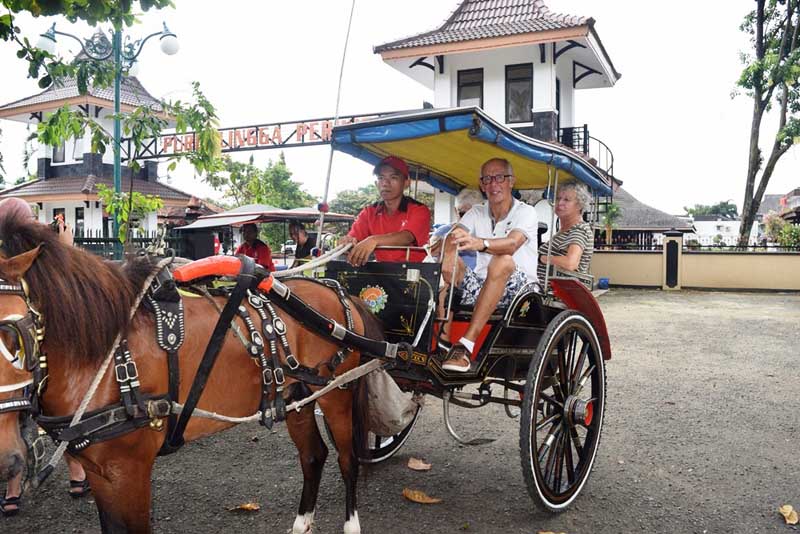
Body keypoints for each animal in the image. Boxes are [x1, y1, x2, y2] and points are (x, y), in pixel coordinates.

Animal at [0, 218, 380, 534]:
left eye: (13, 336)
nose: (7, 462)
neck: (106, 357)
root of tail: (340, 292)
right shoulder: (100, 472)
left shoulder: (128, 471)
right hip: (298, 395)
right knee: (313, 456)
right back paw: (301, 524)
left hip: (338, 392)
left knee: (348, 458)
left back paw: (351, 523)